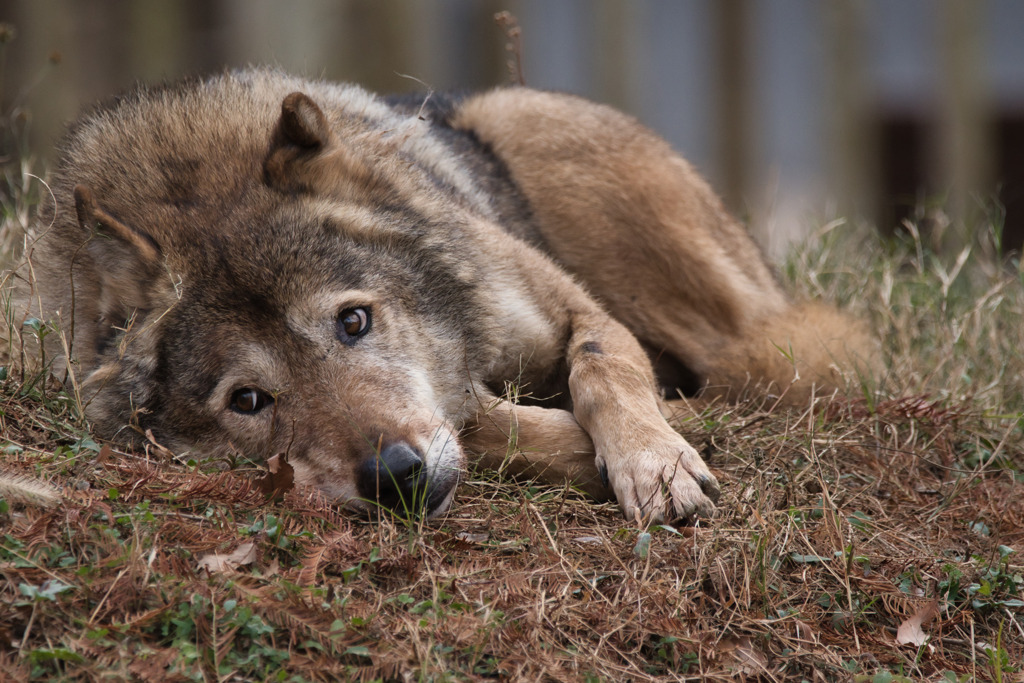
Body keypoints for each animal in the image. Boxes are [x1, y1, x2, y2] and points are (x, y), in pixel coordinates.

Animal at [8, 68, 872, 524]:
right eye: (247, 400)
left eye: (354, 321)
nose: (394, 472)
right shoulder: (461, 408)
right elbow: (491, 424)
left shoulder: (583, 313)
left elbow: (604, 371)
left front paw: (654, 461)